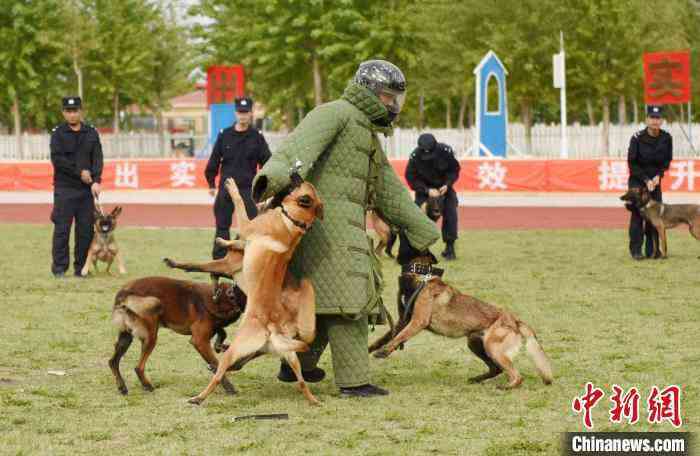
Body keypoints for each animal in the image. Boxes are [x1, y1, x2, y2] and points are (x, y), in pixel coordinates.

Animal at [189, 175, 326, 406]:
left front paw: (232, 187)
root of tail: (271, 327)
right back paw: (313, 400)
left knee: (218, 374)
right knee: (301, 382)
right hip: (291, 356)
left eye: (299, 183)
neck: (293, 221)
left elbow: (240, 206)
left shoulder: (248, 226)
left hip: (237, 348)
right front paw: (224, 241)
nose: (295, 173)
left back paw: (198, 397)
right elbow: (237, 241)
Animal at [370, 258, 556, 390]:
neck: (421, 279)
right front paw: (372, 348)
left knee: (516, 375)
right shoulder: (404, 321)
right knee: (496, 369)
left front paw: (384, 351)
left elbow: (399, 337)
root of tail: (515, 319)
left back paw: (506, 387)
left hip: (492, 346)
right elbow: (386, 337)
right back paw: (476, 379)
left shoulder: (417, 322)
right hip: (475, 343)